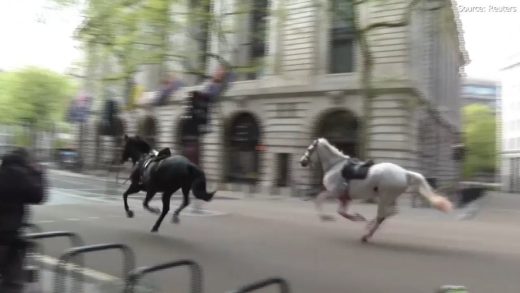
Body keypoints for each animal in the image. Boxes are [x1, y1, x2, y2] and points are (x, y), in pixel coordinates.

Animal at [298, 138, 452, 241]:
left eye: (309, 149)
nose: (302, 162)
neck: (336, 166)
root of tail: (405, 173)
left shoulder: (334, 193)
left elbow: (320, 201)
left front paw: (327, 217)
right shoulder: (344, 197)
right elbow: (341, 212)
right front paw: (357, 217)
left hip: (384, 197)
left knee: (382, 216)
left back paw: (366, 234)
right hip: (390, 198)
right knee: (391, 212)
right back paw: (368, 227)